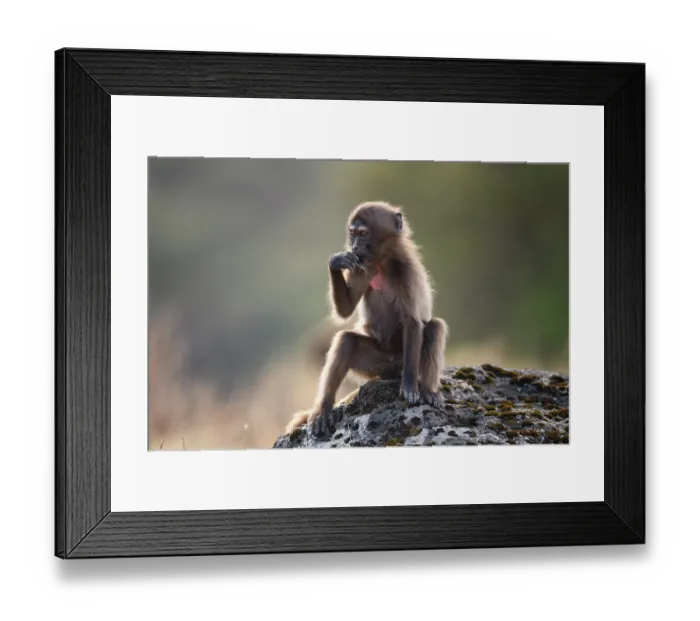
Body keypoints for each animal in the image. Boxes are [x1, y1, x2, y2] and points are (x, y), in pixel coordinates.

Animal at [286, 201, 448, 437]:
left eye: (363, 234)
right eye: (353, 234)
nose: (354, 248)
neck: (383, 262)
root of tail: (392, 367)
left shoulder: (406, 271)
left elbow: (413, 322)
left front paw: (410, 387)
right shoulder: (362, 268)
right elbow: (345, 311)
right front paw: (336, 262)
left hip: (402, 359)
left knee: (434, 327)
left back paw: (428, 391)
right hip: (377, 365)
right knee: (346, 340)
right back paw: (323, 409)